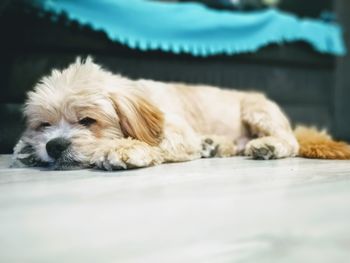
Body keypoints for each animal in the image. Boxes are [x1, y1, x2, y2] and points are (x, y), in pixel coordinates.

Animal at [12, 57, 350, 171]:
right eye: (44, 125)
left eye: (87, 121)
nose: (54, 146)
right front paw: (26, 149)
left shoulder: (178, 132)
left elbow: (154, 143)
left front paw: (124, 149)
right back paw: (214, 145)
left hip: (257, 110)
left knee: (289, 141)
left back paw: (267, 145)